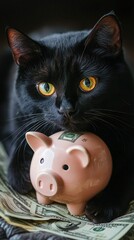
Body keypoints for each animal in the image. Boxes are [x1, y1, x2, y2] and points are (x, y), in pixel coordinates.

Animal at [0, 12, 134, 223]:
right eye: (45, 87)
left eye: (88, 83)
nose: (66, 109)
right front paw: (20, 172)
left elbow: (126, 171)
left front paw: (105, 204)